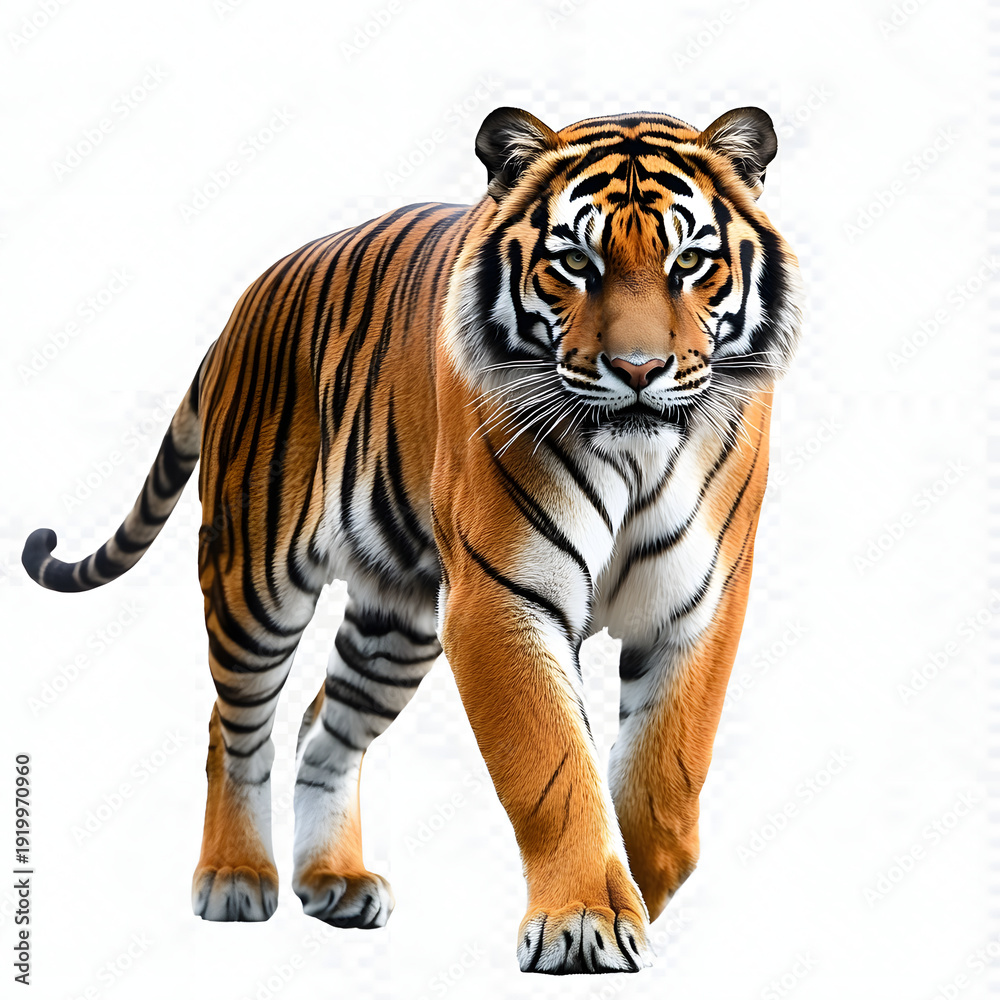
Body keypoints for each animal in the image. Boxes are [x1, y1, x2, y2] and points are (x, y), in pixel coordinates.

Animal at [22, 105, 802, 975]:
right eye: (575, 261)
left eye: (690, 261)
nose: (639, 369)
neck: (635, 453)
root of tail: (240, 310)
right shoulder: (502, 601)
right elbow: (555, 769)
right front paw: (583, 919)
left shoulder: (700, 601)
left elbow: (668, 778)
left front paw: (638, 890)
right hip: (255, 582)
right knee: (235, 727)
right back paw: (234, 875)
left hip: (395, 621)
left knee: (323, 727)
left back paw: (335, 881)